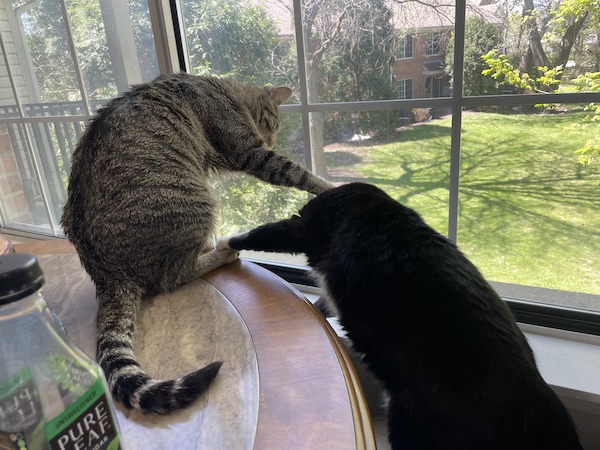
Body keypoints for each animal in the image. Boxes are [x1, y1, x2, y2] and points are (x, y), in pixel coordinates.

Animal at [61, 73, 332, 414]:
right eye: (274, 125)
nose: (272, 141)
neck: (224, 91)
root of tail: (105, 273)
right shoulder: (249, 152)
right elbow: (297, 172)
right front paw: (329, 185)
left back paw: (205, 247)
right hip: (195, 200)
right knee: (174, 275)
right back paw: (222, 252)